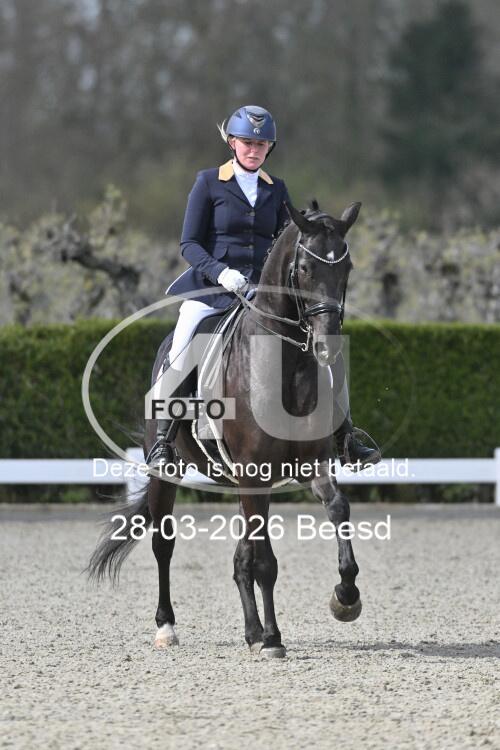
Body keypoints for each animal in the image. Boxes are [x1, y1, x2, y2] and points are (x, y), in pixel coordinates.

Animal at [88, 200, 363, 657]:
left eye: (347, 267)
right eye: (305, 268)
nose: (328, 347)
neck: (286, 366)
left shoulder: (313, 464)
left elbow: (338, 510)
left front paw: (345, 598)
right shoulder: (254, 474)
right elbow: (265, 560)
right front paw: (273, 640)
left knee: (241, 557)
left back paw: (251, 631)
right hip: (170, 472)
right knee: (164, 544)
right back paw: (169, 627)